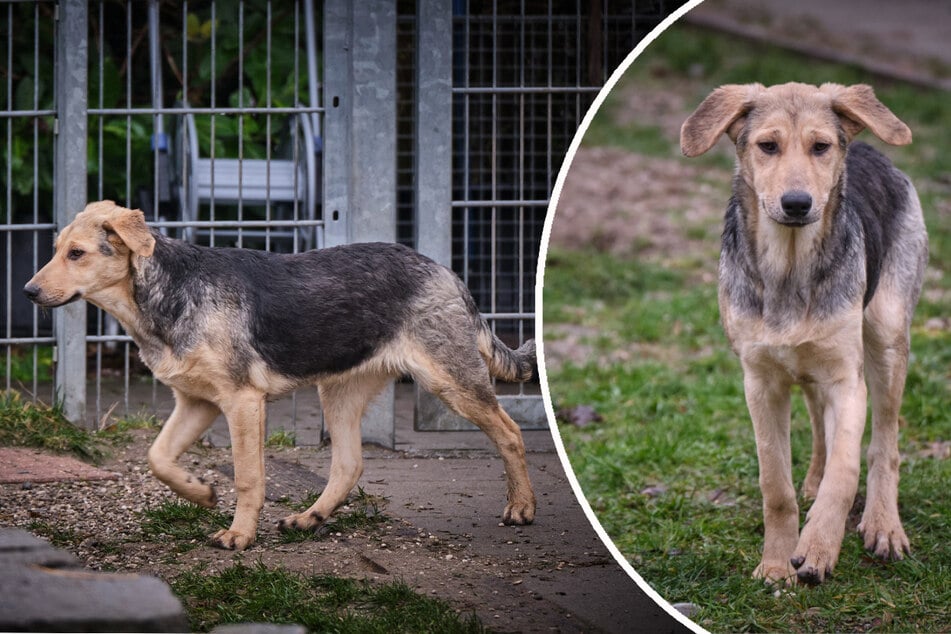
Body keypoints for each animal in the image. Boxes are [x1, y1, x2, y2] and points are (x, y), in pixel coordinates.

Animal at [26, 201, 540, 548]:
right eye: (55, 250)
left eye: (77, 254)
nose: (28, 292)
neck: (164, 294)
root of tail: (448, 274)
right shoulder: (197, 403)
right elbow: (158, 458)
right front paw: (201, 493)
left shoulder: (241, 402)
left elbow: (248, 477)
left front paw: (238, 535)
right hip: (339, 392)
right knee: (349, 464)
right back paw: (308, 519)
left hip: (451, 382)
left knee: (510, 431)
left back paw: (522, 506)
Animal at [680, 82, 932, 584]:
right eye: (767, 146)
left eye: (821, 147)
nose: (797, 204)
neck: (790, 267)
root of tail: (871, 148)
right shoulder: (760, 384)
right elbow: (775, 485)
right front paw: (777, 564)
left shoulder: (847, 380)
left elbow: (847, 466)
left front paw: (817, 547)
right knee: (818, 423)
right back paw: (814, 483)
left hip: (886, 337)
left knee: (885, 442)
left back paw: (883, 524)